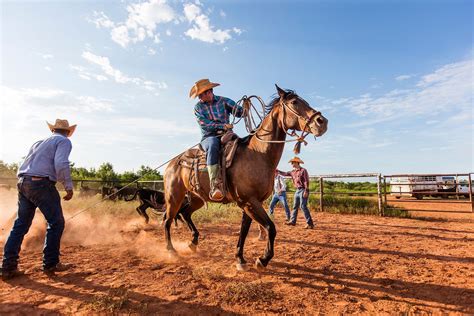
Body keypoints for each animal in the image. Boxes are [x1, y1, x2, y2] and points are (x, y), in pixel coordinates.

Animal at [162, 85, 326, 270]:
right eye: (294, 102)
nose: (322, 122)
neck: (258, 154)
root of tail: (172, 164)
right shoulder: (248, 201)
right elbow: (270, 227)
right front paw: (263, 259)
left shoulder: (250, 203)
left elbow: (245, 230)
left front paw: (240, 258)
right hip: (173, 197)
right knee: (167, 220)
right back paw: (171, 251)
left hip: (197, 198)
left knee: (185, 213)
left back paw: (193, 242)